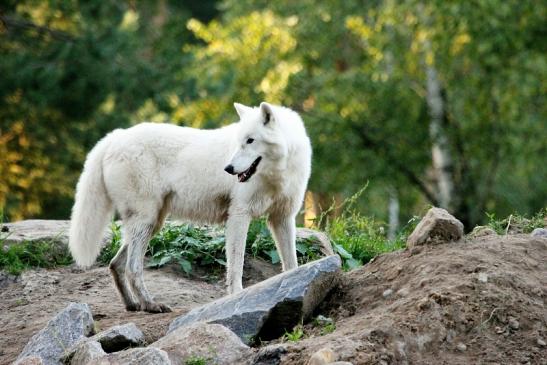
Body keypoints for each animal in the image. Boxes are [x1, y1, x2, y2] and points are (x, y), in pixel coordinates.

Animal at [68, 101, 312, 312]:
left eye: (250, 141)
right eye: (239, 142)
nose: (228, 168)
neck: (277, 173)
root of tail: (114, 136)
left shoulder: (283, 217)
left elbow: (291, 263)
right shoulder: (239, 215)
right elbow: (236, 266)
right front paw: (236, 296)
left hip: (153, 223)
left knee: (115, 265)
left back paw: (133, 305)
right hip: (146, 221)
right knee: (132, 268)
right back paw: (151, 305)